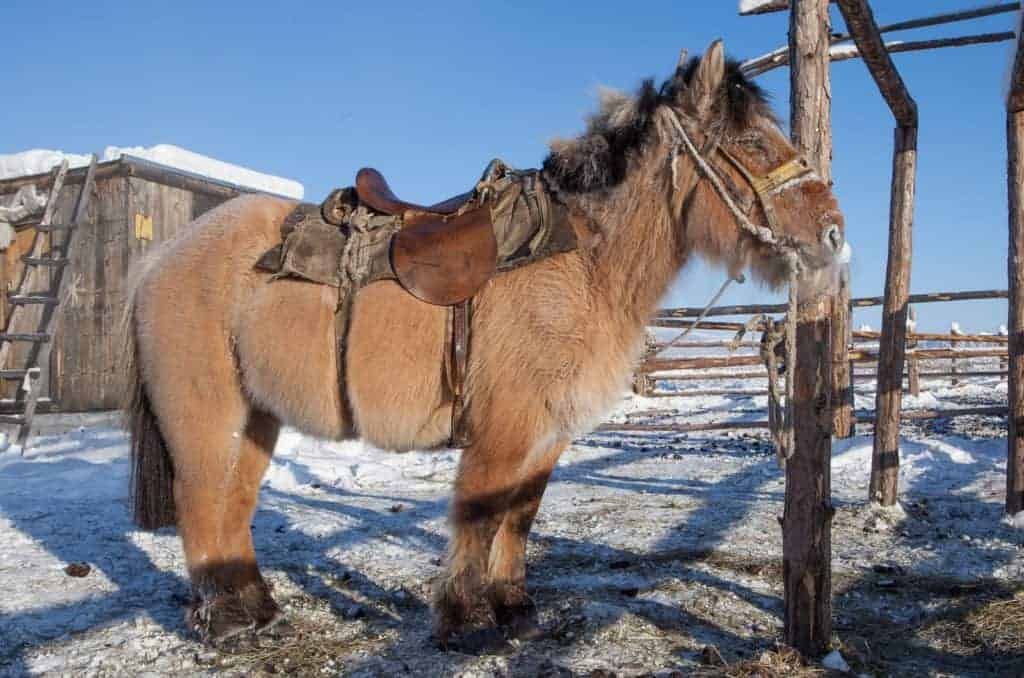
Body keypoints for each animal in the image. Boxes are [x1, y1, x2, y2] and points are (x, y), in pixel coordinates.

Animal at [123, 41, 847, 648]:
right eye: (751, 141)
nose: (834, 235)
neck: (581, 261)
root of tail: (159, 259)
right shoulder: (503, 429)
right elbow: (477, 515)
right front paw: (465, 618)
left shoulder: (548, 434)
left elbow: (518, 517)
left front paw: (513, 608)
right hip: (204, 416)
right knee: (200, 504)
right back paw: (224, 624)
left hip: (255, 419)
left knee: (232, 508)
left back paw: (257, 608)